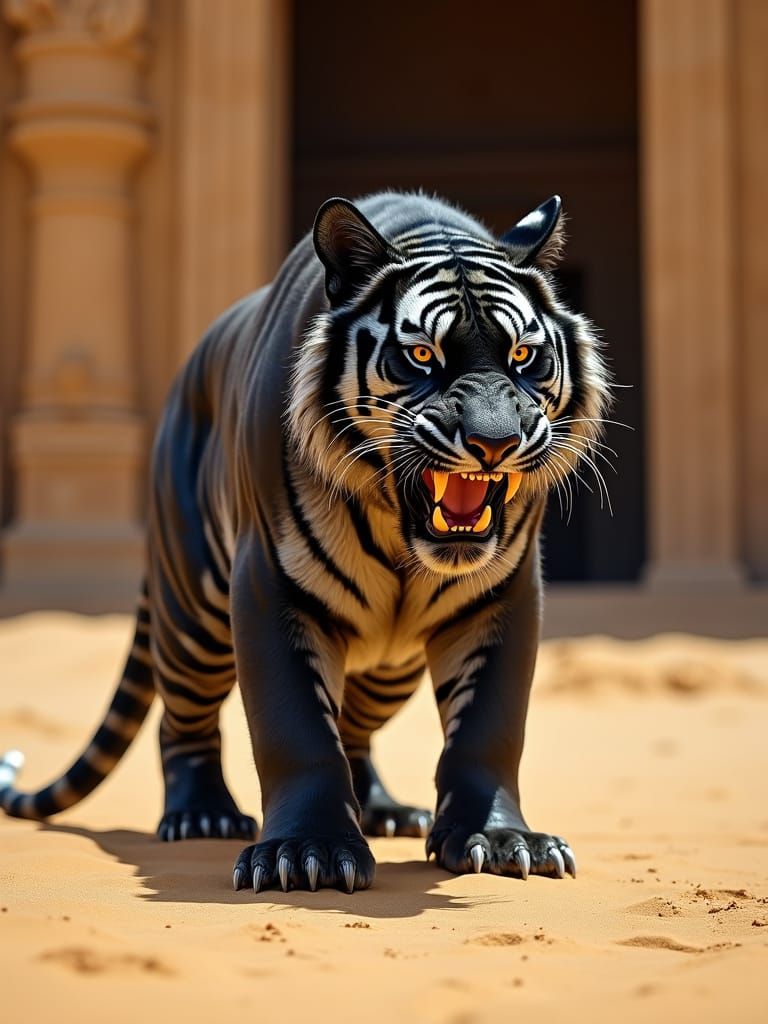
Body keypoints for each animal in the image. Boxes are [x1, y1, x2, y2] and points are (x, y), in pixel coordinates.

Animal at [0, 190, 610, 894]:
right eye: (422, 357)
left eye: (522, 358)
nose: (495, 442)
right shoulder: (268, 582)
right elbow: (296, 732)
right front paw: (306, 849)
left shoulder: (503, 594)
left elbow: (489, 728)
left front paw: (501, 838)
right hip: (193, 616)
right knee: (183, 721)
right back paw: (201, 814)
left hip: (390, 666)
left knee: (355, 729)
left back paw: (383, 810)